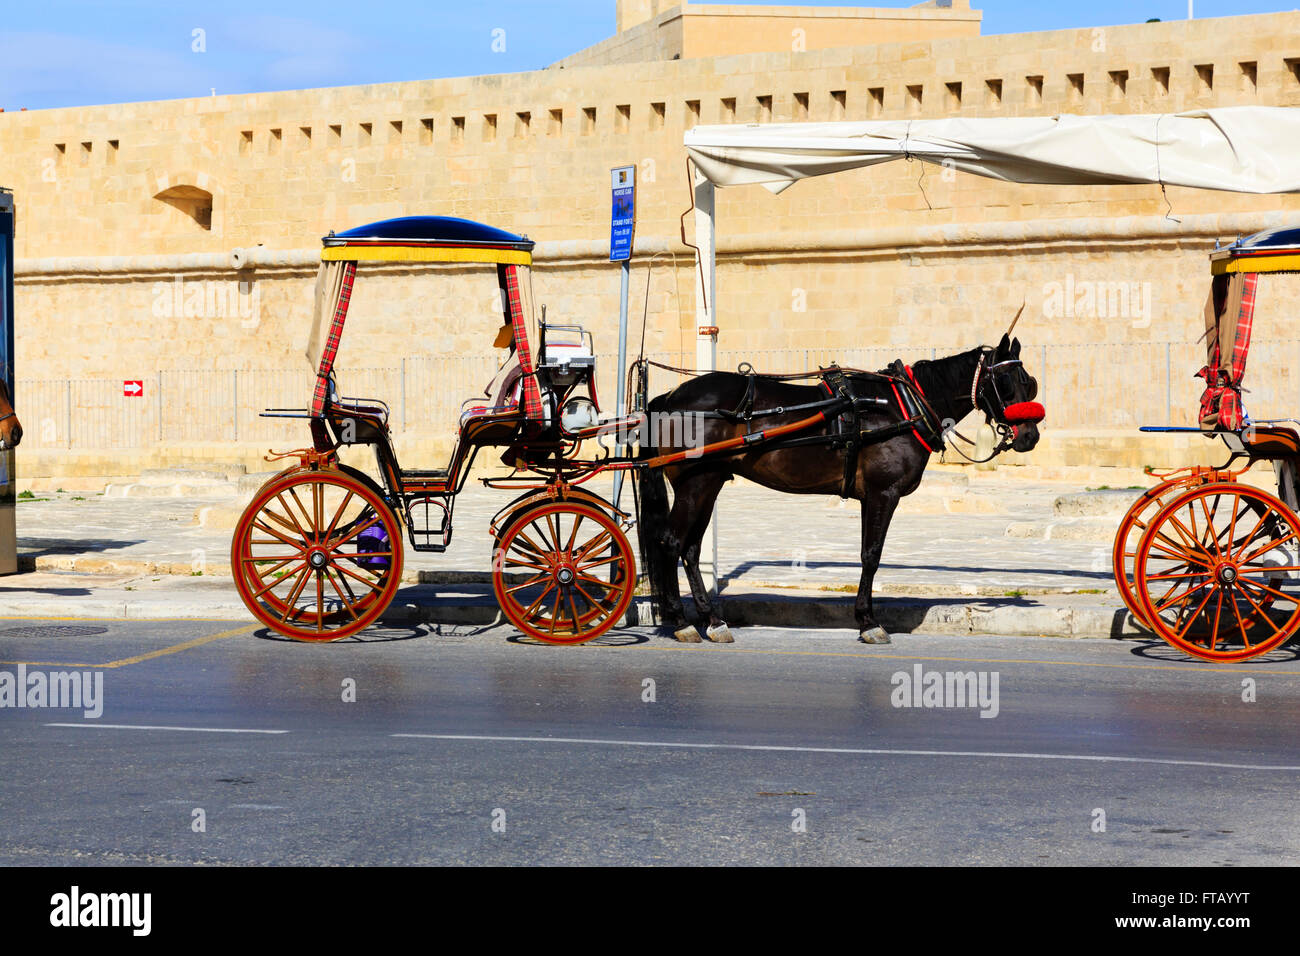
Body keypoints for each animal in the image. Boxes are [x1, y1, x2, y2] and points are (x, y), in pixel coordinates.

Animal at [635, 333, 1043, 644]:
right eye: (1005, 383)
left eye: (1030, 384)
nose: (1030, 436)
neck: (904, 406)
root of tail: (671, 399)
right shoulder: (882, 494)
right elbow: (871, 555)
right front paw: (868, 622)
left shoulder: (872, 497)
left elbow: (868, 555)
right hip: (696, 483)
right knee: (670, 543)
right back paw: (682, 621)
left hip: (709, 482)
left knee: (689, 549)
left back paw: (711, 621)